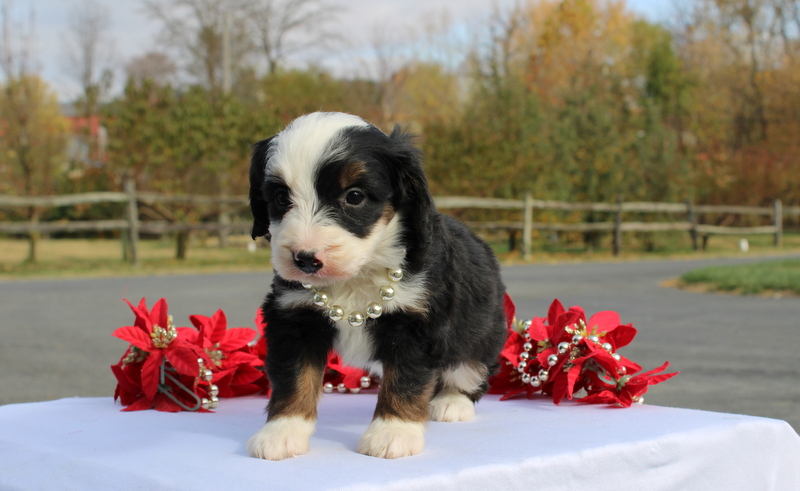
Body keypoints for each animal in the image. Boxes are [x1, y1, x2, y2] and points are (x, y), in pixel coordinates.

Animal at [245, 111, 506, 462]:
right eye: (280, 198)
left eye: (354, 196)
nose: (305, 259)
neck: (358, 275)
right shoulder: (294, 318)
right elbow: (294, 378)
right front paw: (282, 431)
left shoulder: (416, 322)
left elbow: (405, 379)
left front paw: (393, 432)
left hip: (479, 334)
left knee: (470, 369)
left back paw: (452, 401)